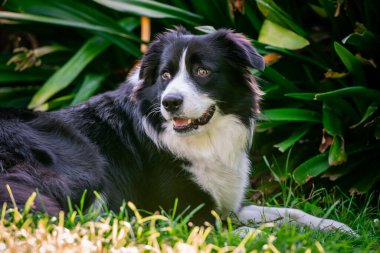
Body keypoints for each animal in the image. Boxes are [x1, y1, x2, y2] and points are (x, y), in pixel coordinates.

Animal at [0, 28, 354, 232]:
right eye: (166, 75)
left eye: (202, 71)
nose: (169, 102)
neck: (202, 139)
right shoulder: (188, 213)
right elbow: (252, 232)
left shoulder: (226, 205)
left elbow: (288, 212)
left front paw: (336, 227)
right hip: (83, 159)